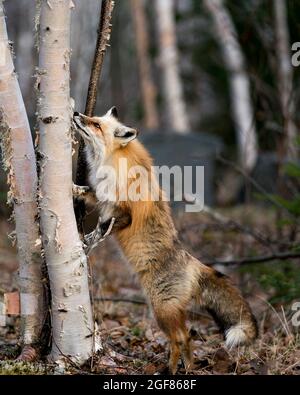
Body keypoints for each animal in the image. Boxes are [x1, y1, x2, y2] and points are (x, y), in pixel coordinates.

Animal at [73, 107, 258, 374]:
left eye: (96, 125)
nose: (77, 113)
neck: (115, 164)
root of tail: (192, 263)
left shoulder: (125, 213)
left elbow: (103, 229)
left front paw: (87, 242)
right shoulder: (102, 196)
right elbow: (90, 193)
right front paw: (73, 189)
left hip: (160, 310)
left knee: (178, 339)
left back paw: (169, 371)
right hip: (170, 312)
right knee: (187, 337)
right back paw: (189, 368)